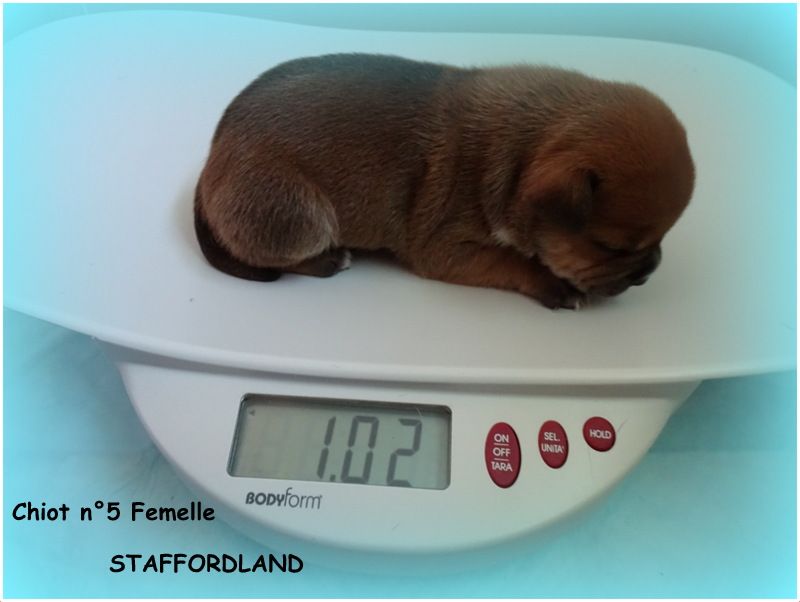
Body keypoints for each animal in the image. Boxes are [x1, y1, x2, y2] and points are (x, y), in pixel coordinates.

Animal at [194, 53, 694, 309]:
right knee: (272, 255)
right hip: (296, 214)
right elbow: (511, 261)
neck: (526, 148)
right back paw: (330, 259)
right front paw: (554, 285)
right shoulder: (444, 248)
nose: (649, 272)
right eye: (609, 247)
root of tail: (212, 159)